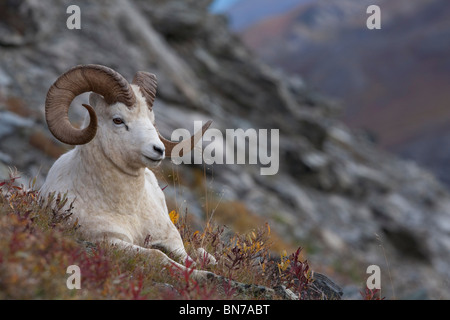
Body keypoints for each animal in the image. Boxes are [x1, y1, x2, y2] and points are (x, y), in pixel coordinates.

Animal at [40, 63, 214, 278]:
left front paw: (206, 272)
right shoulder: (111, 240)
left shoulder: (170, 237)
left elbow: (187, 258)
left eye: (151, 120)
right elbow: (157, 255)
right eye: (118, 120)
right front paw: (204, 276)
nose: (159, 150)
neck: (127, 210)